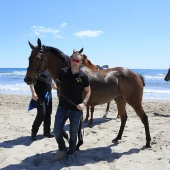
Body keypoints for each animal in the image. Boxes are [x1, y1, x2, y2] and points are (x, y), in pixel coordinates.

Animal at [23, 38, 151, 147]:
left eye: (38, 58)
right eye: (29, 58)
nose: (27, 79)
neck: (71, 74)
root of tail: (136, 74)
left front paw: (75, 141)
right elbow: (63, 126)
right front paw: (71, 139)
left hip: (134, 101)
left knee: (144, 118)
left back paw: (148, 142)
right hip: (120, 100)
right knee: (124, 118)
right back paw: (117, 138)